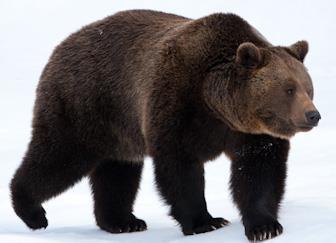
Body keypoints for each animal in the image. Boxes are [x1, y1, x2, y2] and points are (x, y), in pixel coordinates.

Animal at [10, 9, 320, 241]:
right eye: (289, 89)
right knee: (58, 157)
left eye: (308, 87)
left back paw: (123, 221)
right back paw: (31, 211)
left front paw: (264, 226)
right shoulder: (177, 103)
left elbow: (259, 173)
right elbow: (179, 169)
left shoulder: (251, 134)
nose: (313, 115)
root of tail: (60, 46)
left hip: (119, 129)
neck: (216, 105)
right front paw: (205, 221)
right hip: (86, 104)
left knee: (117, 172)